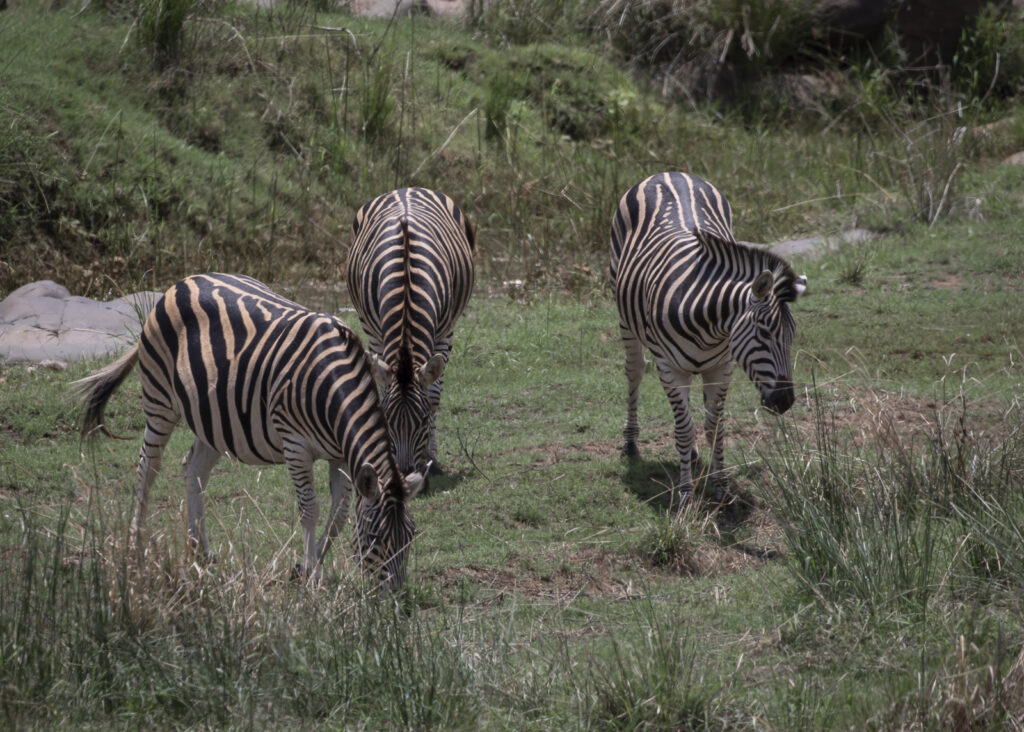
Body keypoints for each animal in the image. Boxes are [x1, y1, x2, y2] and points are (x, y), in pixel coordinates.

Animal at [73, 274, 423, 589]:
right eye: (375, 537)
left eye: (411, 536)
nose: (397, 597)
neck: (333, 387)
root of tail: (179, 283)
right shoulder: (295, 445)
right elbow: (310, 509)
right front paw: (311, 574)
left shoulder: (340, 454)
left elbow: (338, 515)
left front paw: (305, 567)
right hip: (159, 400)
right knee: (148, 468)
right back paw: (136, 546)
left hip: (213, 416)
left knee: (194, 469)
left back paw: (200, 551)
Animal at [344, 186, 471, 479]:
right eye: (388, 420)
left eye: (422, 420)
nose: (403, 472)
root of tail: (406, 189)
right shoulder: (374, 334)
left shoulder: (445, 333)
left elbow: (433, 396)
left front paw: (432, 459)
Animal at [606, 171, 806, 507]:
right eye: (764, 333)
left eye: (792, 336)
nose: (785, 401)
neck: (709, 326)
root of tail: (669, 172)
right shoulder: (670, 367)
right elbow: (684, 429)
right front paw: (686, 495)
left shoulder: (722, 367)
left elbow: (715, 428)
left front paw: (721, 488)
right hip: (625, 318)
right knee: (634, 371)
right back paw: (631, 441)